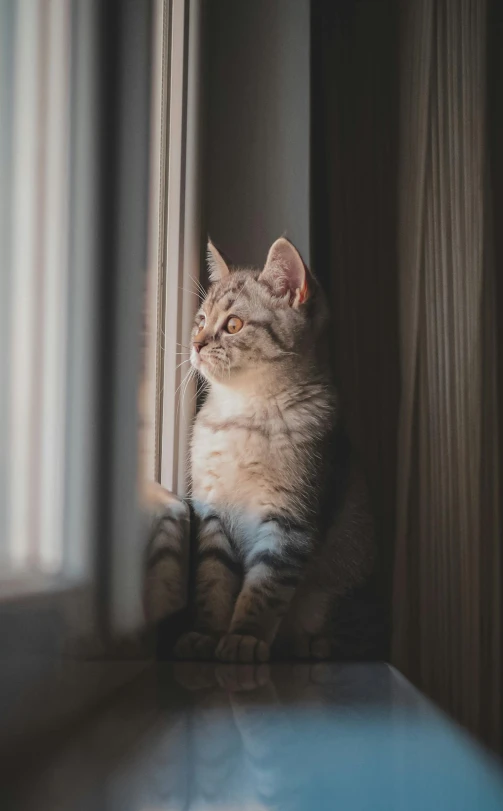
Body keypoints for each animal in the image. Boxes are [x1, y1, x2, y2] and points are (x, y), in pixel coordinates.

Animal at [173, 238, 374, 664]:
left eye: (233, 325)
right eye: (200, 320)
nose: (195, 344)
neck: (243, 415)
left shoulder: (290, 521)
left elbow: (264, 589)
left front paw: (244, 637)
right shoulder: (212, 513)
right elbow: (212, 581)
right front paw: (206, 633)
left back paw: (312, 645)